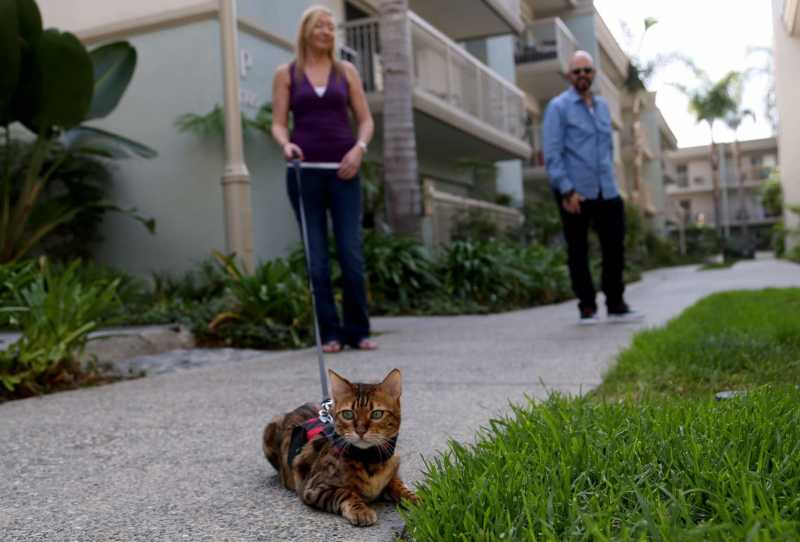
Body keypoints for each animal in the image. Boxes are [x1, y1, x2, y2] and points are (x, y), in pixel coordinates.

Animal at [260, 370, 416, 528]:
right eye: (348, 414)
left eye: (377, 414)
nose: (360, 431)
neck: (370, 458)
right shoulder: (314, 487)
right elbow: (345, 492)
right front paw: (361, 510)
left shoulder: (392, 476)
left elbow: (401, 487)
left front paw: (416, 498)